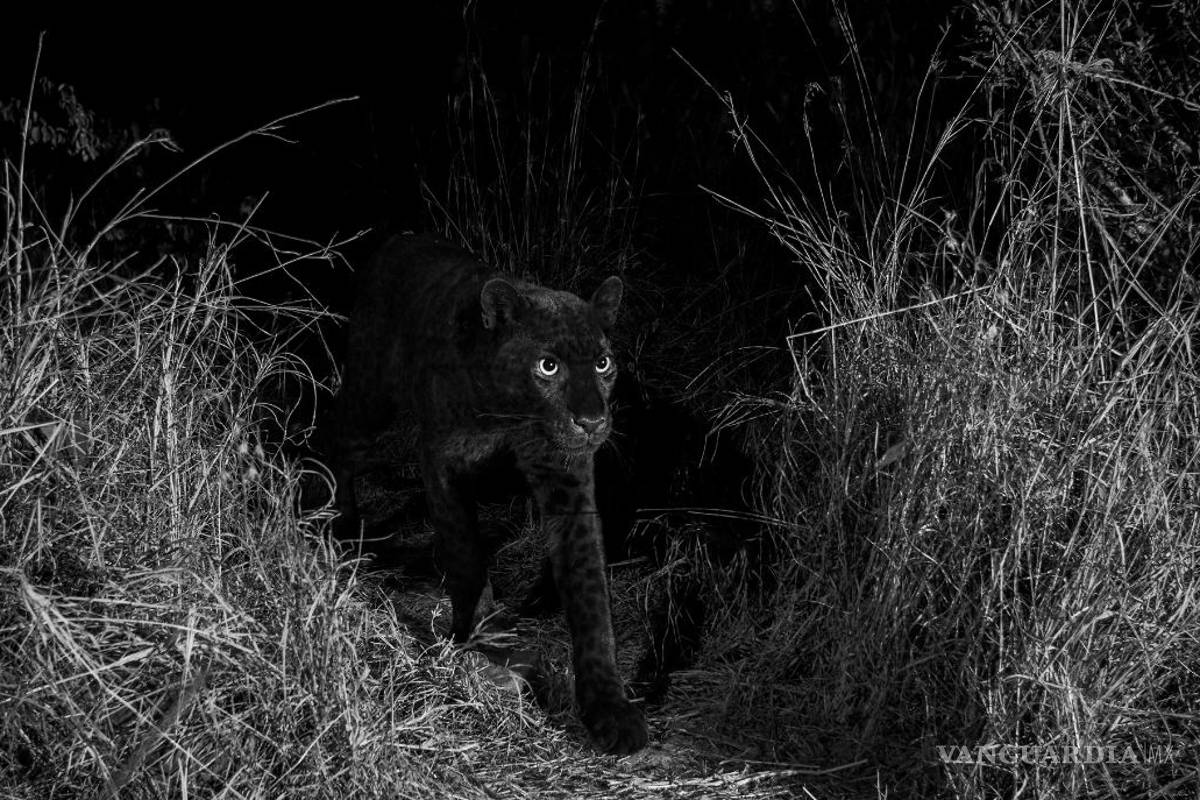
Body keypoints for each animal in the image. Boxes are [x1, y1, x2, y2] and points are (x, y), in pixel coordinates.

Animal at [329, 233, 648, 755]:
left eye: (603, 363)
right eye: (548, 366)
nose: (592, 421)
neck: (511, 414)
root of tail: (396, 239)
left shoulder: (566, 479)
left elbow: (589, 593)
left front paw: (610, 708)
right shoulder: (442, 459)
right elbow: (464, 552)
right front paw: (481, 640)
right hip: (371, 397)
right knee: (334, 434)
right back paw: (339, 528)